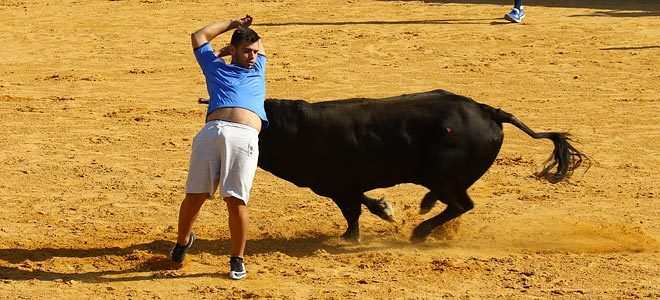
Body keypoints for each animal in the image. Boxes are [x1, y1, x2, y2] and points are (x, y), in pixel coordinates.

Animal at [256, 89, 588, 241]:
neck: (292, 129)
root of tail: (488, 112)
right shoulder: (344, 186)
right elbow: (365, 203)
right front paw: (386, 211)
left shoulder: (339, 186)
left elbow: (353, 212)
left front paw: (350, 237)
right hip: (448, 177)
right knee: (455, 201)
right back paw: (427, 207)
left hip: (444, 175)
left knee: (461, 204)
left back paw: (421, 230)